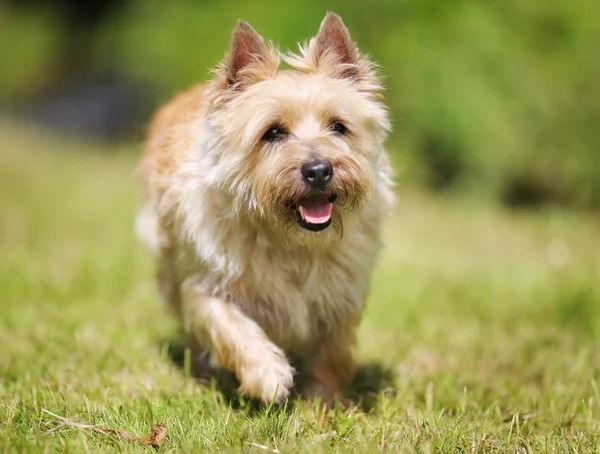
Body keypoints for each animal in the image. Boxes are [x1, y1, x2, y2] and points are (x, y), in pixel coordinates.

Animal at [138, 11, 396, 404]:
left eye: (339, 127)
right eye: (272, 132)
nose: (318, 170)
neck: (292, 241)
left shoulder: (342, 293)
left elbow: (331, 352)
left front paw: (322, 401)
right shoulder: (205, 283)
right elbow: (230, 327)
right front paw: (268, 375)